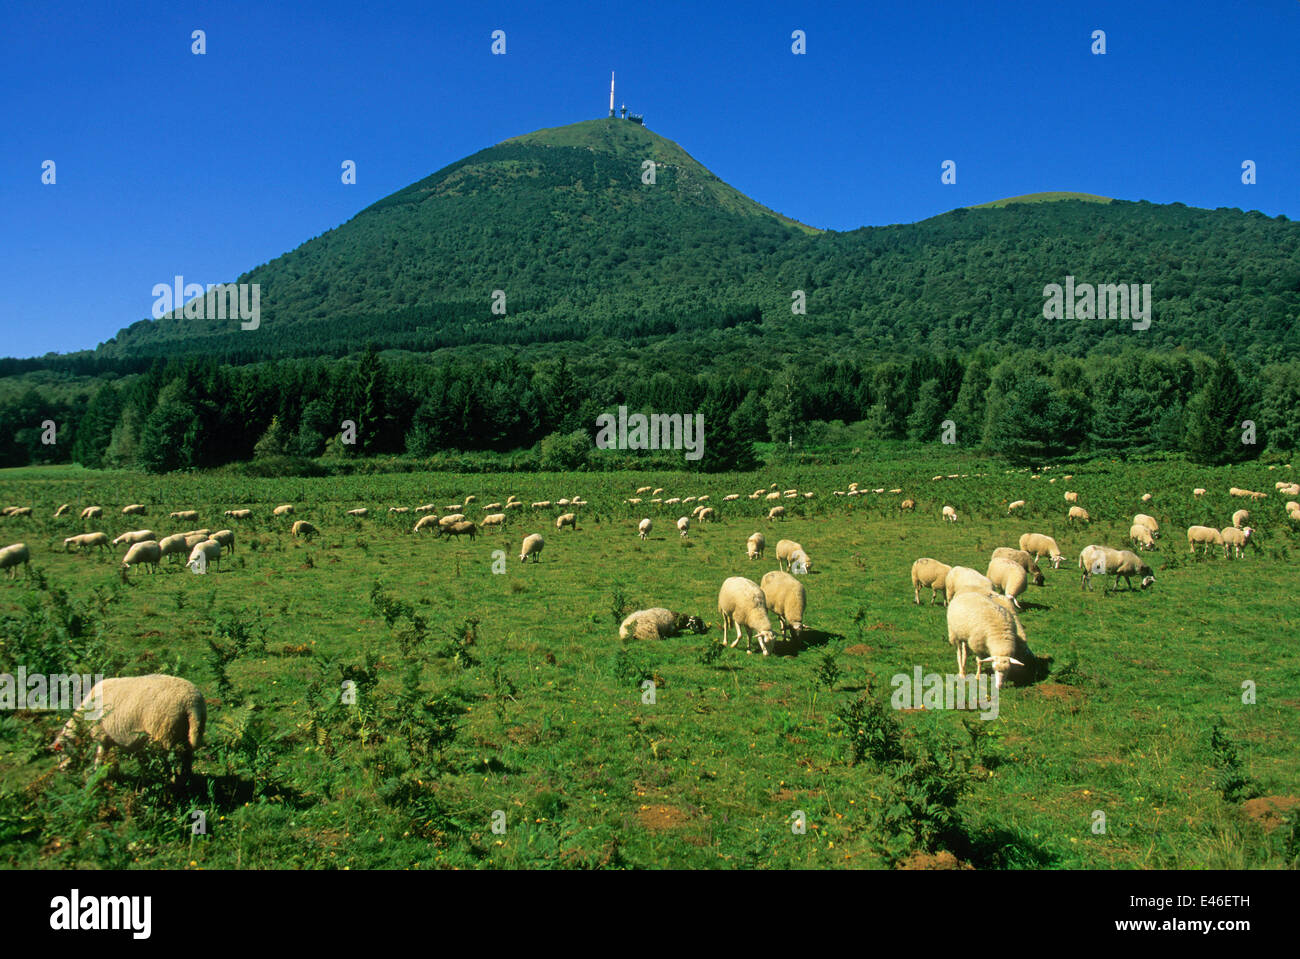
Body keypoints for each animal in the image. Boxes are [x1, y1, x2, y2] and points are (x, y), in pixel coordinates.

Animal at [52, 670, 205, 779]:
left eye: (60, 751)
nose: (60, 769)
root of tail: (191, 703)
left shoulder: (100, 736)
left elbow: (99, 757)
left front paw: (95, 774)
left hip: (163, 733)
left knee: (169, 761)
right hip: (188, 732)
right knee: (187, 756)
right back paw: (186, 777)